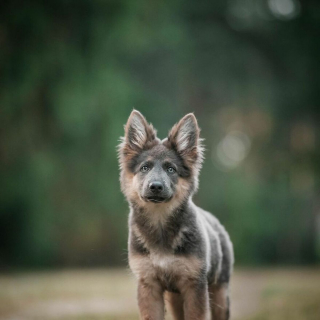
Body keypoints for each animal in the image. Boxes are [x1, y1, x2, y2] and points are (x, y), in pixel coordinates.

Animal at [119, 110, 234, 320]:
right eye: (145, 168)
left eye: (170, 169)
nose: (156, 187)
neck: (160, 224)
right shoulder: (149, 285)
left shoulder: (194, 286)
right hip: (175, 298)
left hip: (220, 294)